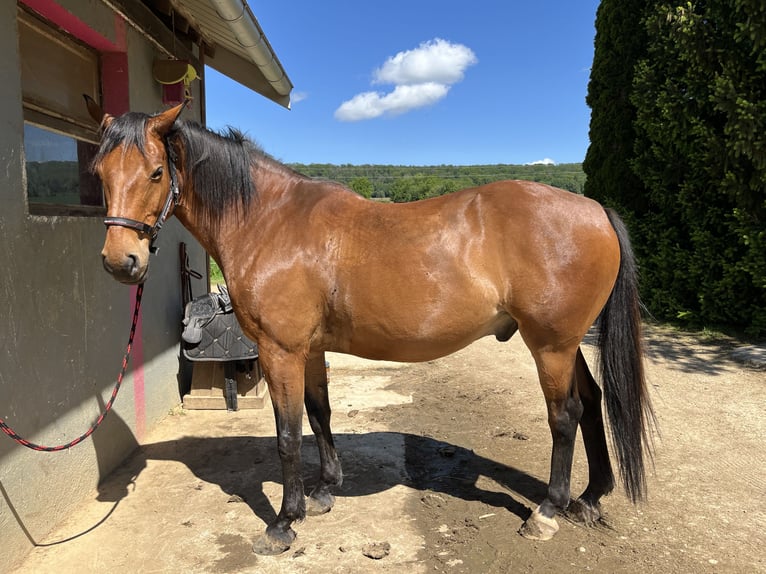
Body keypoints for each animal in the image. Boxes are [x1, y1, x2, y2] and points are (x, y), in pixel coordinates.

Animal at [88, 100, 656, 560]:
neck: (268, 220)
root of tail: (594, 209)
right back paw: (590, 498)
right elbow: (319, 414)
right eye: (99, 172)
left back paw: (548, 511)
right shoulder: (310, 351)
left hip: (551, 345)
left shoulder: (280, 351)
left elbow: (287, 435)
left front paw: (283, 523)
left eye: (156, 172)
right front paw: (323, 493)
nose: (120, 261)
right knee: (594, 401)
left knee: (565, 415)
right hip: (566, 345)